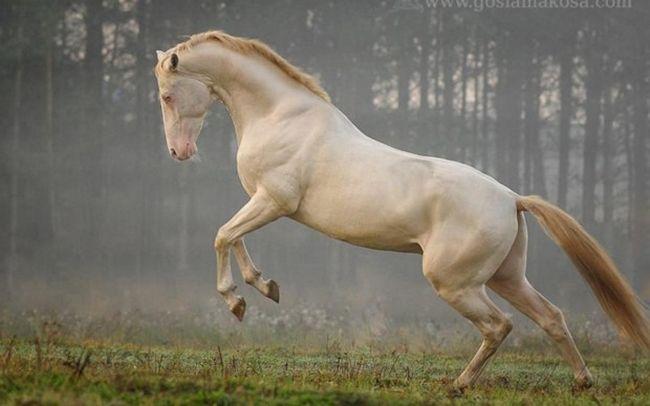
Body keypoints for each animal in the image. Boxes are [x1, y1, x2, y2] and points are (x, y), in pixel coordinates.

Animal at [153, 30, 648, 386]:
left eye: (167, 95)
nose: (178, 153)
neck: (280, 116)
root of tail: (512, 199)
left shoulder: (273, 200)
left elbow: (223, 234)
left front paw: (237, 301)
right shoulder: (263, 200)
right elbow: (235, 238)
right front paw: (263, 287)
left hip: (455, 282)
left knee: (498, 326)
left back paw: (459, 385)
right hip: (507, 277)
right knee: (551, 317)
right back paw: (583, 382)